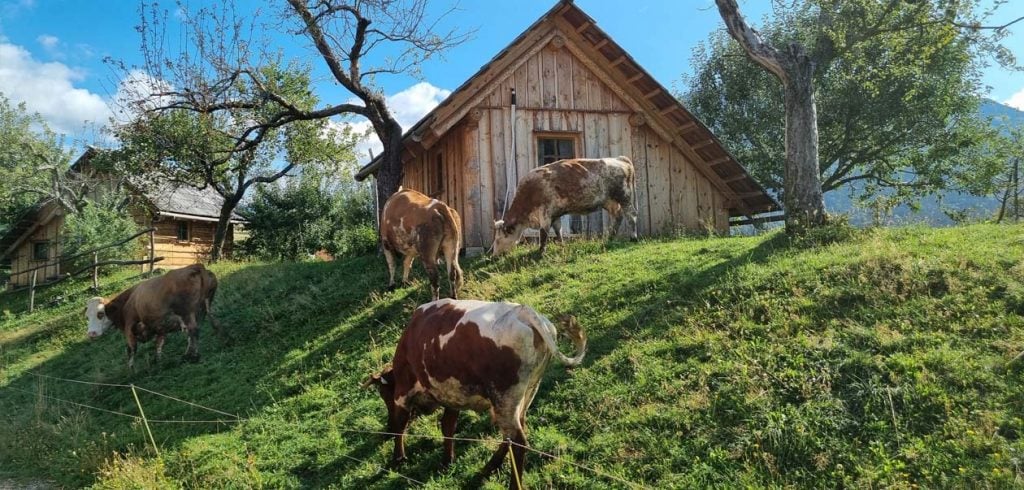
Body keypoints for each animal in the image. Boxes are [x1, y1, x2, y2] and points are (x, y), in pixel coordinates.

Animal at [364, 298, 589, 486]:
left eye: (384, 395)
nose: (386, 426)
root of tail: (523, 311)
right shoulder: (452, 393)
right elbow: (447, 426)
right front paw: (447, 460)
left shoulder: (402, 393)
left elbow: (400, 427)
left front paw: (398, 457)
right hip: (526, 392)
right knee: (513, 433)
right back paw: (488, 468)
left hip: (504, 399)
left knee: (518, 442)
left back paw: (512, 484)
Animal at [489, 157, 638, 256]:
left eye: (498, 239)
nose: (494, 256)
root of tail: (620, 159)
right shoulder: (555, 215)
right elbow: (558, 232)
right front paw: (561, 246)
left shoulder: (545, 215)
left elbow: (543, 234)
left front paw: (540, 253)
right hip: (610, 201)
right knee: (618, 217)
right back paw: (610, 238)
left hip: (624, 196)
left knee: (631, 215)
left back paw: (633, 238)